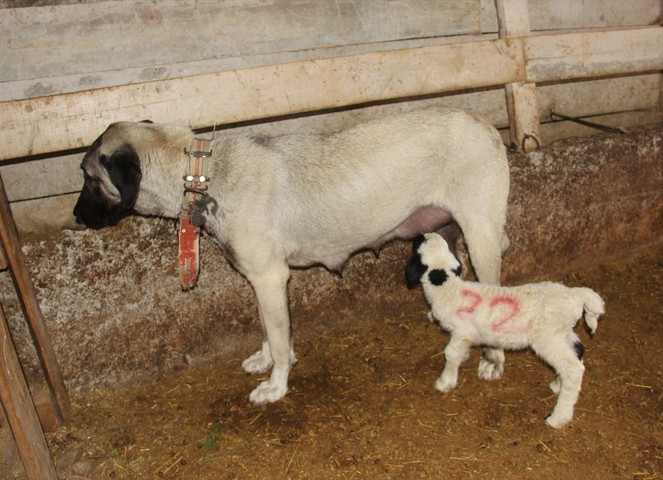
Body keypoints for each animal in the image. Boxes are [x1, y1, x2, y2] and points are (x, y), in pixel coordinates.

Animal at [72, 107, 510, 404]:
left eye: (89, 178)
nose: (75, 216)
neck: (203, 174)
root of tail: (485, 124)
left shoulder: (270, 277)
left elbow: (282, 340)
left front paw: (275, 386)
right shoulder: (259, 280)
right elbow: (270, 329)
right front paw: (264, 361)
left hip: (481, 232)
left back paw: (493, 359)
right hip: (447, 232)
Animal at [404, 232, 608, 428]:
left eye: (417, 243)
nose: (415, 236)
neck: (447, 287)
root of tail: (576, 295)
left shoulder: (463, 332)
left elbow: (450, 353)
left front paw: (445, 382)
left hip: (547, 338)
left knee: (573, 369)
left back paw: (558, 418)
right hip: (562, 332)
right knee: (578, 351)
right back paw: (558, 384)